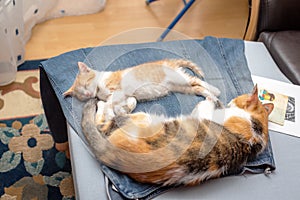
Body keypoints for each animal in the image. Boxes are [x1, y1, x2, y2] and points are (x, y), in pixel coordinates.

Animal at [63, 59, 220, 117]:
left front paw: (108, 108)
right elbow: (129, 102)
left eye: (85, 84)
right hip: (182, 87)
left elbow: (111, 101)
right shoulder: (126, 96)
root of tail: (168, 61)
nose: (87, 94)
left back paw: (215, 90)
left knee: (197, 80)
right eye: (81, 94)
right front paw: (124, 110)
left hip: (179, 78)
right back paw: (211, 97)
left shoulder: (117, 89)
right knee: (197, 87)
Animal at [81, 85, 274, 186]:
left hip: (140, 118)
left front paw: (211, 97)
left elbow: (207, 104)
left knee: (104, 122)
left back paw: (105, 103)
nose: (231, 100)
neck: (257, 129)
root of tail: (111, 153)